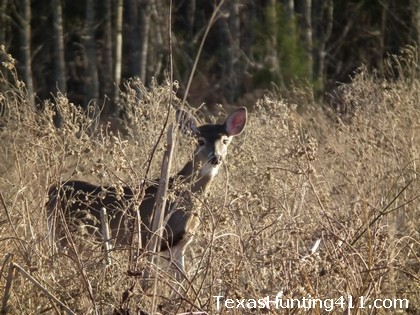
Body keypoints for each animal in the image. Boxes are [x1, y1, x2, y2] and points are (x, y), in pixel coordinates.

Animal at [47, 108, 248, 278]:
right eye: (200, 141)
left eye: (225, 140)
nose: (216, 158)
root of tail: (51, 191)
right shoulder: (148, 238)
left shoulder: (179, 245)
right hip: (64, 236)